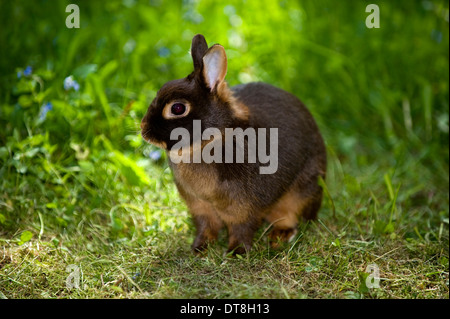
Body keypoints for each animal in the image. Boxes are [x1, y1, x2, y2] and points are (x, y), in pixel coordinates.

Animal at [139, 34, 326, 255]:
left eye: (177, 108)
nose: (143, 129)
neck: (209, 140)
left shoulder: (244, 207)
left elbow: (241, 228)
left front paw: (236, 252)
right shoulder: (200, 206)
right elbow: (206, 226)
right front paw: (199, 248)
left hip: (300, 192)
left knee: (290, 216)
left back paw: (278, 237)